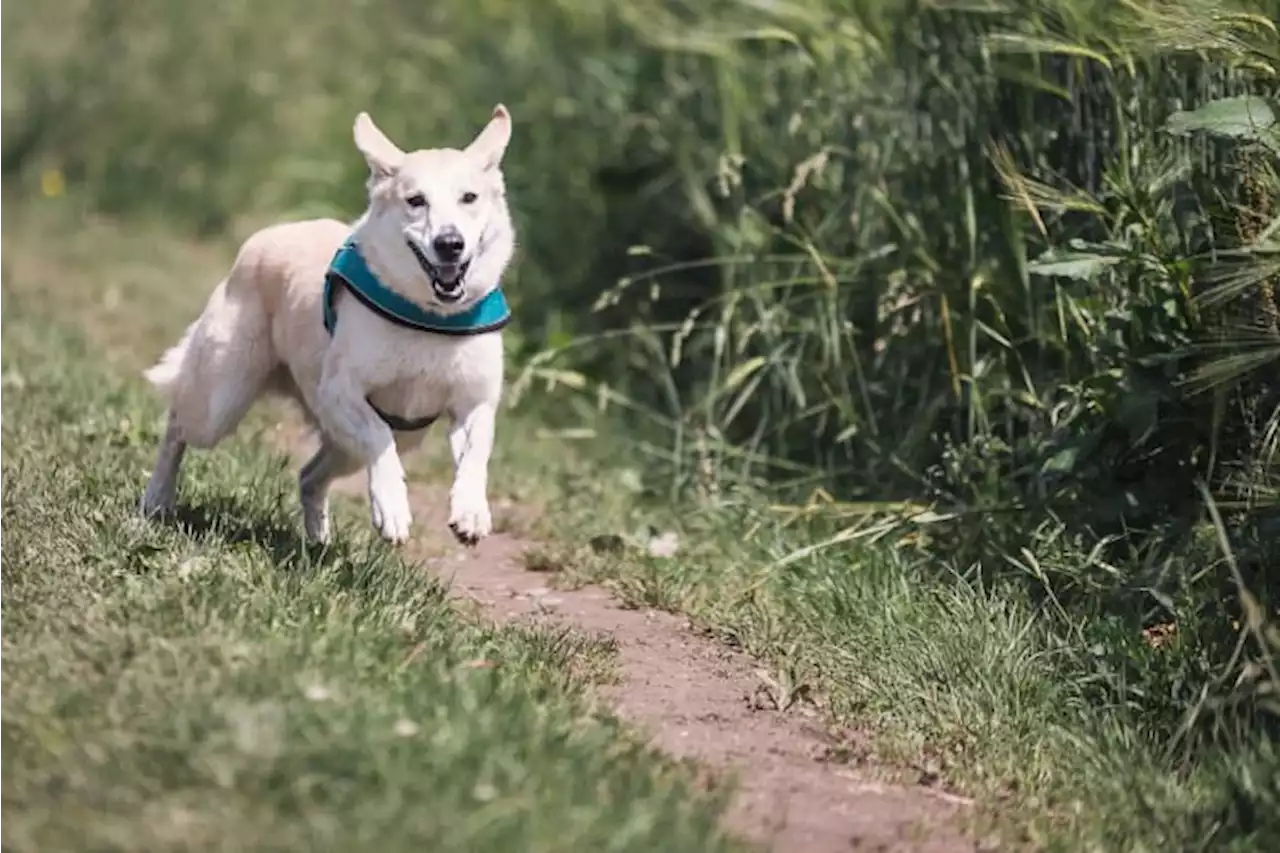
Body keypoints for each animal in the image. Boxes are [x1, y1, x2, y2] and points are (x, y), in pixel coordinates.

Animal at [138, 104, 514, 545]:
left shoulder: (474, 402)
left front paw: (471, 511)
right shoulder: (340, 392)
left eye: (469, 197)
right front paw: (393, 509)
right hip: (220, 400)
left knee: (309, 476)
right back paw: (156, 499)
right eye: (416, 201)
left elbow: (476, 453)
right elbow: (378, 437)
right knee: (178, 424)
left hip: (376, 439)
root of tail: (266, 236)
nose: (450, 244)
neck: (429, 317)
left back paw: (318, 541)